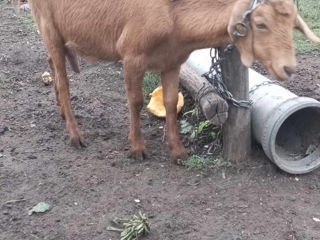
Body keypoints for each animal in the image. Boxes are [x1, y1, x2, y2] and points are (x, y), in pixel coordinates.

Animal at [28, 0, 318, 163]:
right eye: (260, 24)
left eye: (292, 25)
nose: (288, 67)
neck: (173, 16)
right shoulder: (131, 56)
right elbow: (135, 102)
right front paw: (137, 148)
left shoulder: (172, 62)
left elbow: (169, 102)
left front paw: (178, 152)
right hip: (48, 25)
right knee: (63, 80)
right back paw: (75, 135)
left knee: (52, 64)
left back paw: (62, 113)